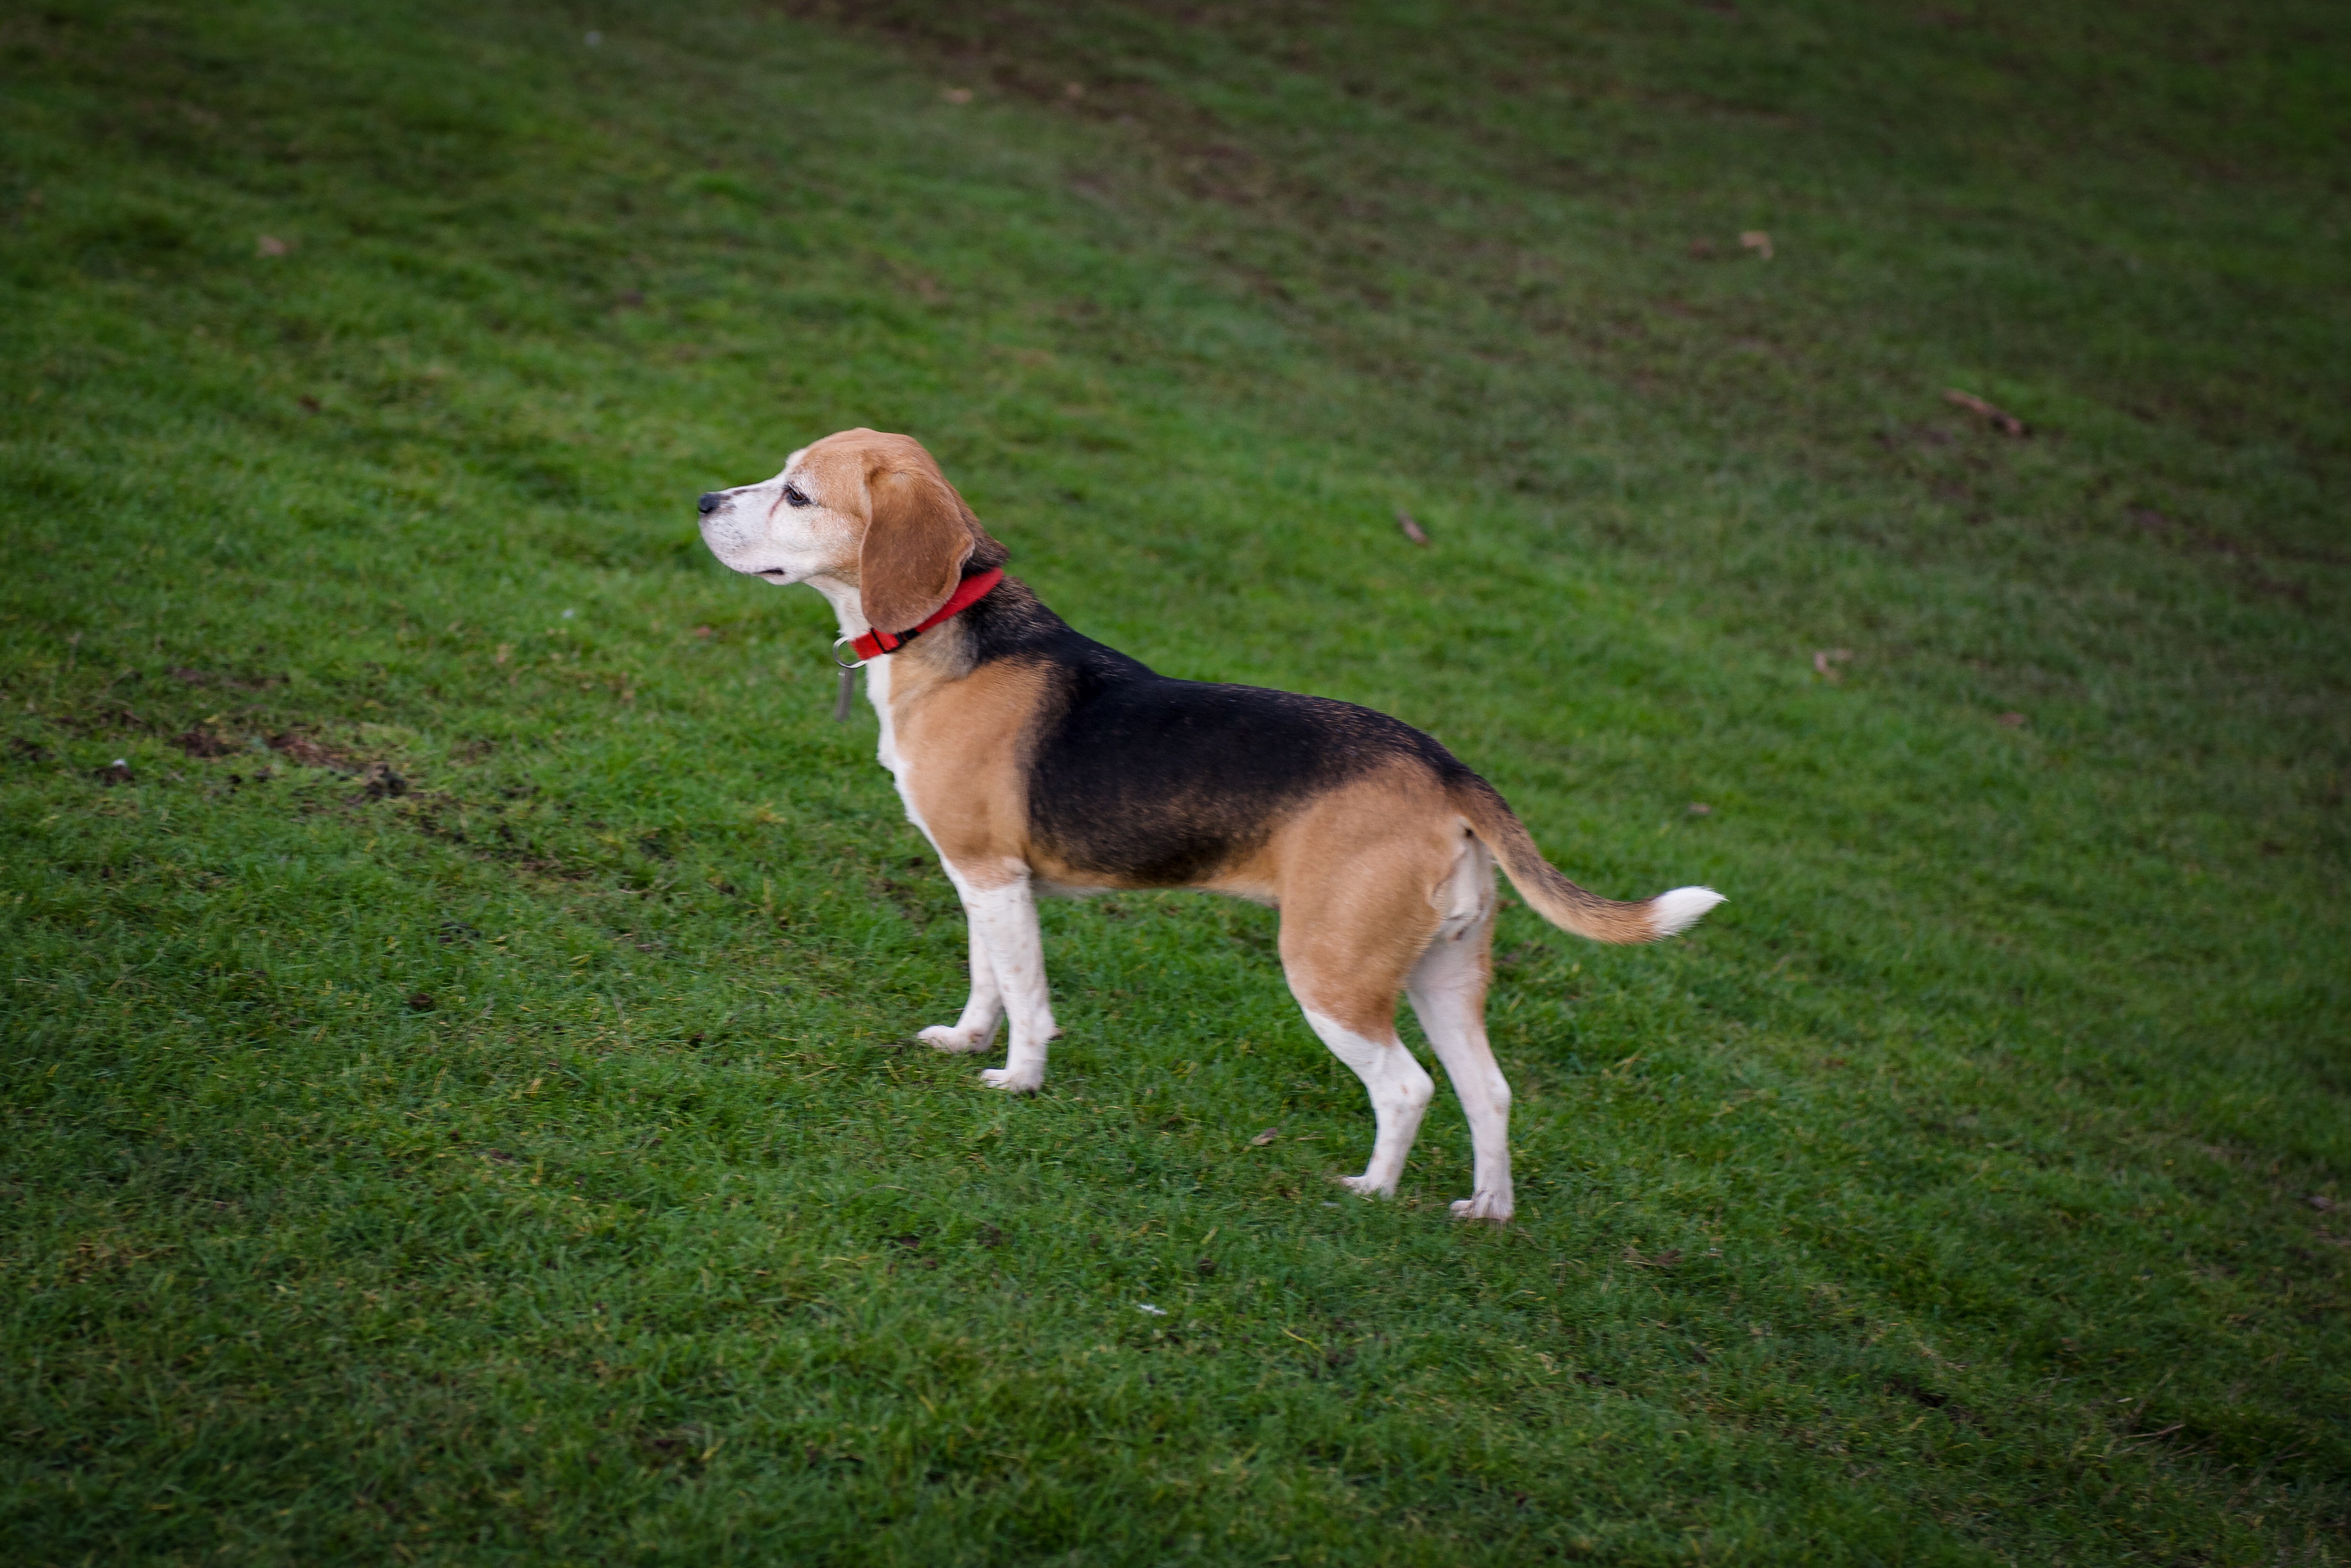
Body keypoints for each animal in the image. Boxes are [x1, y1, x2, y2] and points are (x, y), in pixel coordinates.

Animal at [686, 432, 1721, 1222]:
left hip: (1330, 968)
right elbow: (989, 977)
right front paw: (966, 1041)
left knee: (1407, 1086)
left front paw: (1018, 1081)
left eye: (797, 494)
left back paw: (1370, 1190)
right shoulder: (981, 877)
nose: (700, 499)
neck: (951, 631)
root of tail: (1443, 769)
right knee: (1489, 1092)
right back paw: (1485, 1209)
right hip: (1444, 970)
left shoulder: (990, 873)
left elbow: (1028, 994)